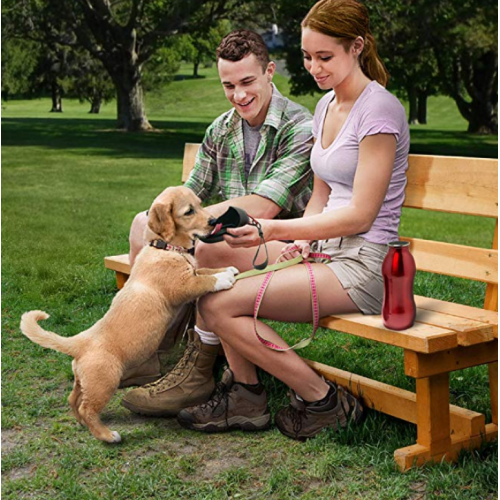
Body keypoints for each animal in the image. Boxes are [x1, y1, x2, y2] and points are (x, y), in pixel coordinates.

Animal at [19, 186, 238, 444]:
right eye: (188, 211)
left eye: (201, 204)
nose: (214, 221)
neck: (164, 247)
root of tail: (79, 342)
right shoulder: (183, 285)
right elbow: (205, 279)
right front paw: (223, 277)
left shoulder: (191, 272)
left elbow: (204, 269)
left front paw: (227, 268)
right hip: (105, 381)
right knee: (87, 407)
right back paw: (107, 435)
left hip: (84, 381)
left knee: (73, 399)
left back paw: (83, 424)